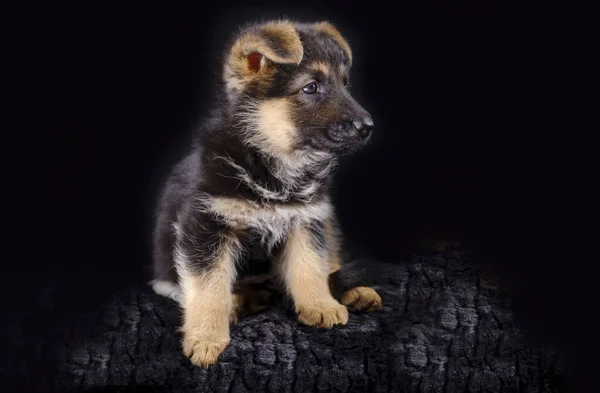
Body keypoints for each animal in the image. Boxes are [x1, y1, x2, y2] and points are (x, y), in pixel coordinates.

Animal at [152, 19, 382, 366]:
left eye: (345, 85)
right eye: (310, 87)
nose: (367, 126)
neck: (271, 163)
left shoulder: (306, 218)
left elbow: (310, 266)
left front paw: (320, 304)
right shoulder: (205, 226)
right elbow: (209, 287)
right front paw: (206, 337)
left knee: (330, 262)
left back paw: (355, 292)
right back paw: (242, 302)